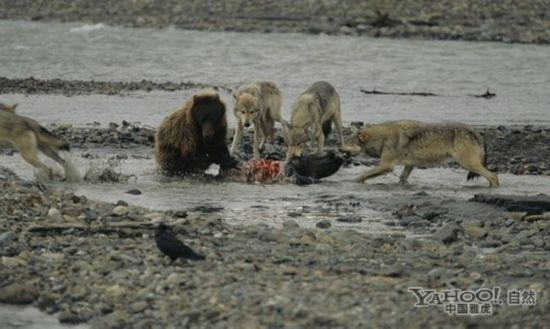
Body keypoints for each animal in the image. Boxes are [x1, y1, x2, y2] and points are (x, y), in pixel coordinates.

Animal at [348, 120, 502, 187]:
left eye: (348, 142)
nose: (341, 149)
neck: (383, 137)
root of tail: (477, 133)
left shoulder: (387, 166)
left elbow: (362, 175)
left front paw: (353, 182)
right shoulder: (409, 165)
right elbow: (402, 179)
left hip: (468, 164)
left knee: (493, 176)